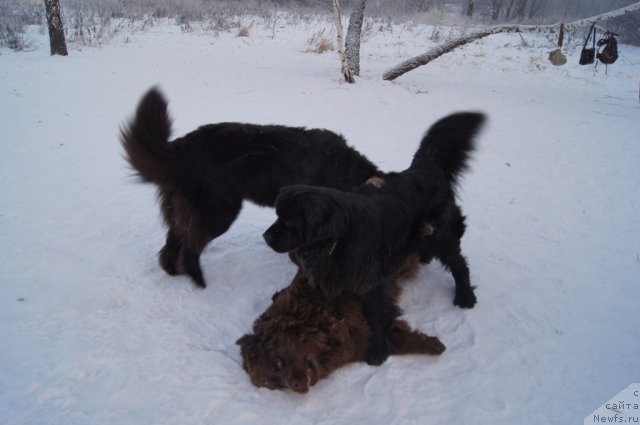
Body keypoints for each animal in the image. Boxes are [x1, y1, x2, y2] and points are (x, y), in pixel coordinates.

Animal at [120, 87, 380, 286]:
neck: (347, 174)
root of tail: (181, 148)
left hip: (185, 210)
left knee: (172, 246)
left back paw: (175, 273)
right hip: (216, 212)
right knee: (190, 248)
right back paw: (200, 284)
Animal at [235, 253, 444, 392]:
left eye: (277, 362)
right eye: (276, 384)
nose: (295, 386)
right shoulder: (362, 343)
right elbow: (405, 341)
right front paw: (433, 345)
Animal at [264, 112, 484, 364]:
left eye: (288, 221)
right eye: (278, 216)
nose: (266, 236)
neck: (338, 239)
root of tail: (425, 166)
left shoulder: (369, 279)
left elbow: (374, 313)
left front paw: (379, 349)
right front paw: (284, 293)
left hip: (441, 236)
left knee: (459, 264)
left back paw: (465, 296)